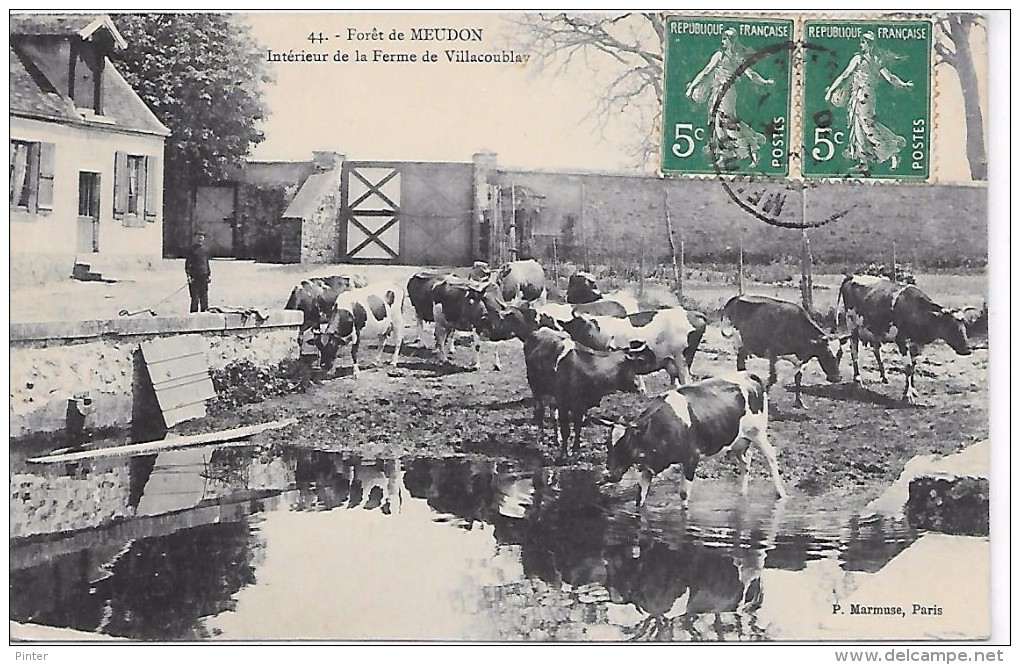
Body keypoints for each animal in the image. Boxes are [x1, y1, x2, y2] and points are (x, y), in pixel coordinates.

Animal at [522, 326, 656, 458]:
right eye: (635, 370)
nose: (643, 390)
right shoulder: (563, 404)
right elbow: (566, 430)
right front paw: (564, 454)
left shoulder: (582, 406)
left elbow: (578, 427)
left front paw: (575, 449)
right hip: (536, 389)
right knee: (540, 412)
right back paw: (541, 439)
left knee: (552, 415)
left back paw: (556, 439)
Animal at [599, 371, 783, 505]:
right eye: (608, 445)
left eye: (626, 444)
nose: (607, 475)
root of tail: (748, 375)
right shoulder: (648, 466)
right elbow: (640, 497)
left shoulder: (691, 458)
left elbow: (683, 494)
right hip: (738, 439)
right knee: (746, 461)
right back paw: (742, 493)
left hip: (757, 432)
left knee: (771, 455)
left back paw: (781, 493)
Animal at [836, 275, 971, 405]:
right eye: (951, 325)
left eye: (965, 324)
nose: (967, 349)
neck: (915, 310)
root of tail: (852, 276)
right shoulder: (901, 341)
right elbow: (908, 367)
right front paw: (907, 396)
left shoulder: (916, 344)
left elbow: (913, 367)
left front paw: (912, 390)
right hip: (852, 326)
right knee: (854, 351)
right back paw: (858, 380)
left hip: (875, 331)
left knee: (876, 350)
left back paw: (884, 377)